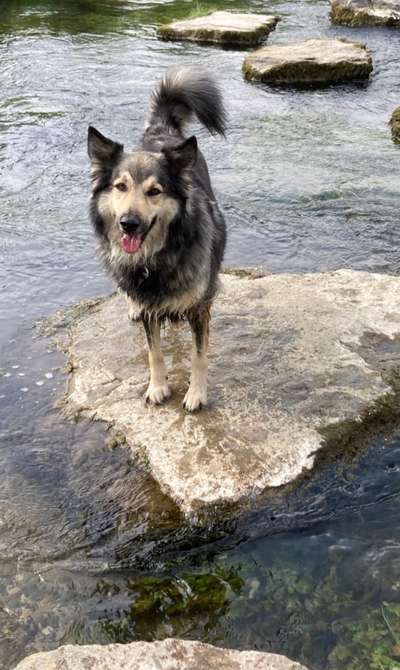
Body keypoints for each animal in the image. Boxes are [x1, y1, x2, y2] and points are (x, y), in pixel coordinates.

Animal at [87, 69, 227, 414]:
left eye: (154, 191)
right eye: (120, 186)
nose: (128, 224)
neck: (158, 257)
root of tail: (162, 130)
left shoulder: (199, 309)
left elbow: (199, 356)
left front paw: (196, 394)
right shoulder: (151, 307)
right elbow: (155, 352)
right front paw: (158, 387)